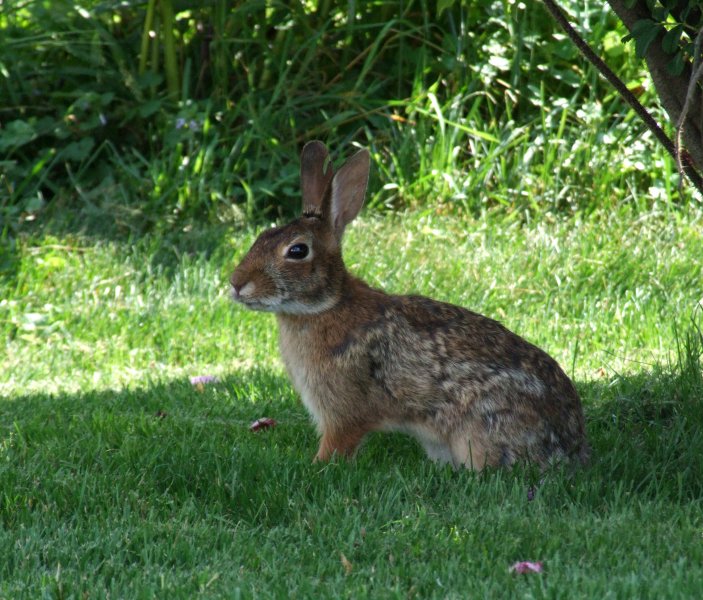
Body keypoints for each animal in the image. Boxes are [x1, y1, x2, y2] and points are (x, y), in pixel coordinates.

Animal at [231, 141, 588, 468]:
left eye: (297, 251)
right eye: (262, 236)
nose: (236, 283)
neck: (325, 306)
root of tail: (569, 446)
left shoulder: (342, 411)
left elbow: (337, 444)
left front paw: (317, 466)